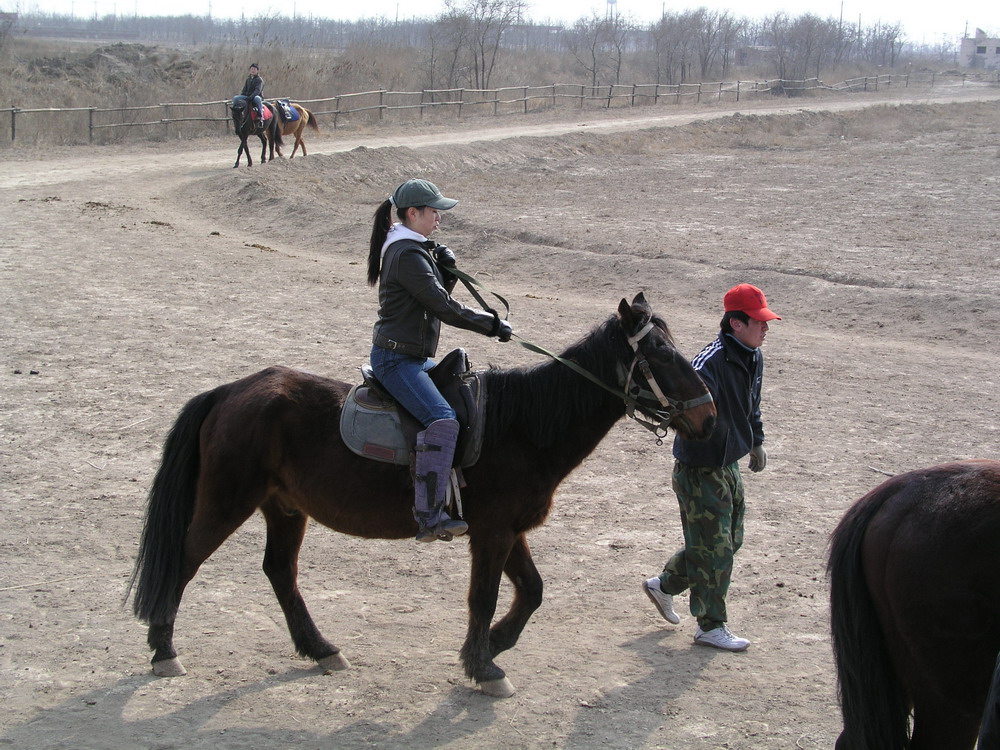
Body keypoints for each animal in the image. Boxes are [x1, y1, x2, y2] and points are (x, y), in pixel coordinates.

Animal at [127, 294, 720, 700]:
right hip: (228, 501)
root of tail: (232, 391)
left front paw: (492, 646)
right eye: (660, 355)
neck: (521, 427)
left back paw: (321, 649)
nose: (709, 417)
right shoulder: (491, 533)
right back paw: (164, 651)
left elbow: (531, 592)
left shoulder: (510, 531)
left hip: (285, 508)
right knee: (182, 561)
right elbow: (484, 597)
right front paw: (484, 666)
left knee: (279, 572)